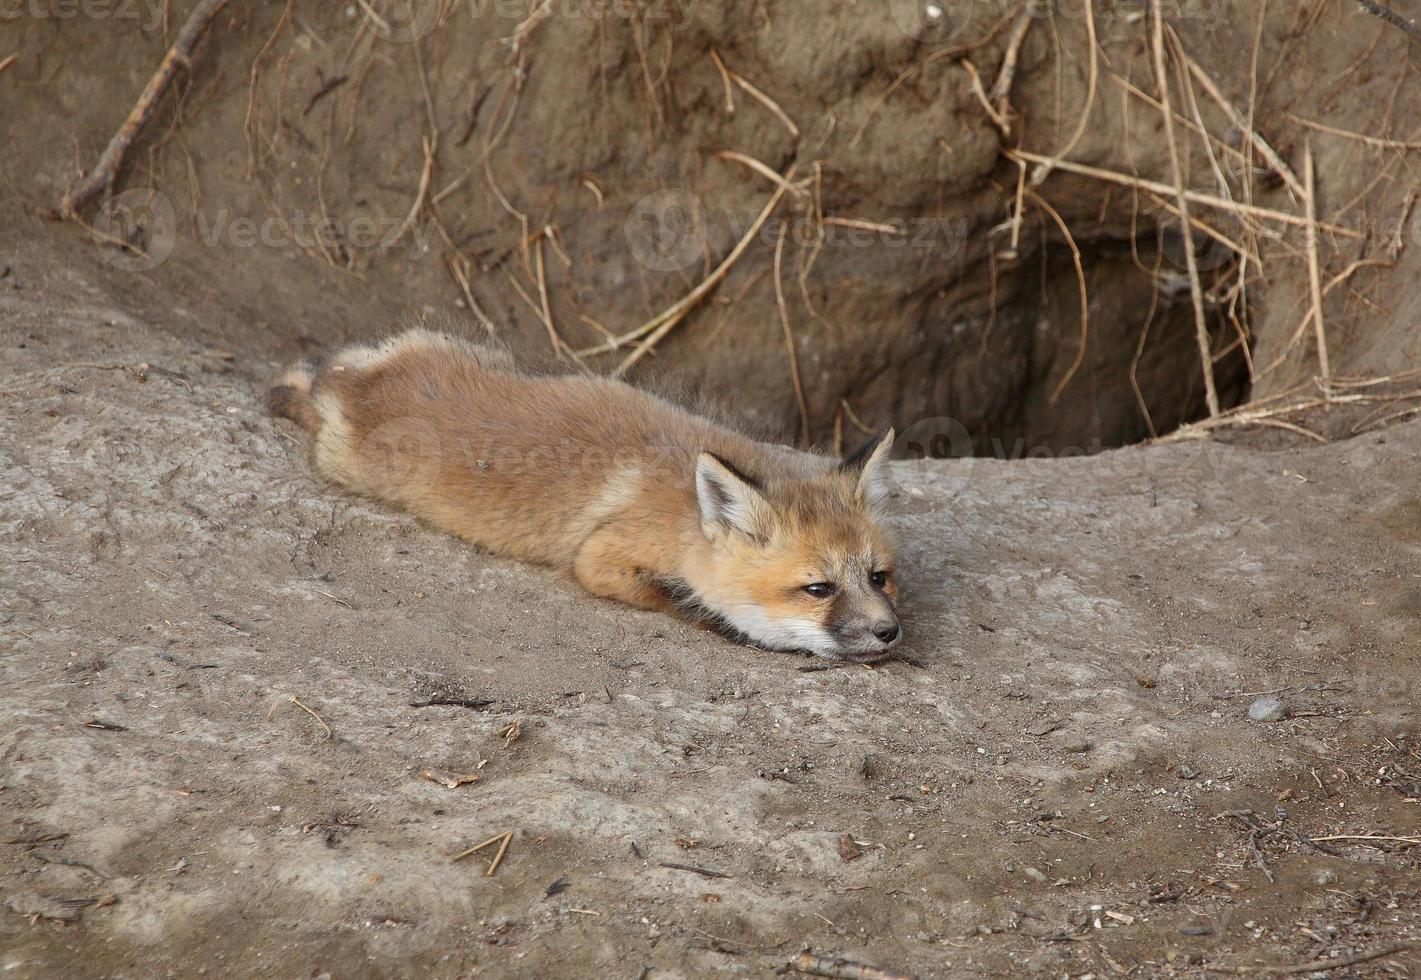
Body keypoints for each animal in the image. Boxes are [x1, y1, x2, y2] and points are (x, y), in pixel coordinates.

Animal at [267, 332, 903, 659]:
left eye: (879, 577)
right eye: (818, 589)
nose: (889, 631)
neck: (682, 513)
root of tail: (360, 384)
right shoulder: (599, 558)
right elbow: (675, 601)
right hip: (345, 463)